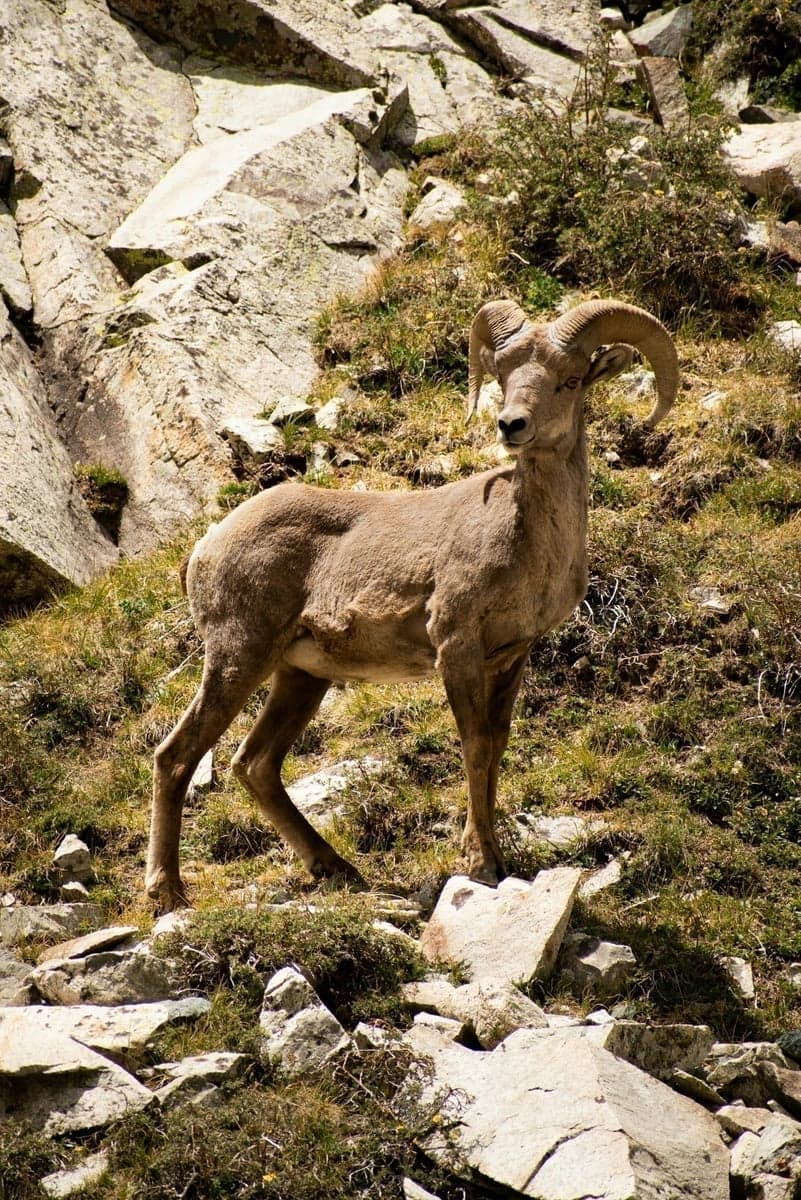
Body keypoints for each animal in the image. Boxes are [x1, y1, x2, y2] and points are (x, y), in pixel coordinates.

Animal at [147, 298, 678, 911]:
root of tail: (204, 547)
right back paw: (168, 892)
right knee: (176, 756)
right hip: (238, 657)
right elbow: (475, 747)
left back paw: (336, 868)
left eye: (569, 380)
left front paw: (495, 857)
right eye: (503, 377)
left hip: (300, 676)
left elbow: (497, 746)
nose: (511, 425)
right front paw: (483, 864)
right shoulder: (456, 648)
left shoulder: (510, 656)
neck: (525, 540)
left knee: (255, 764)